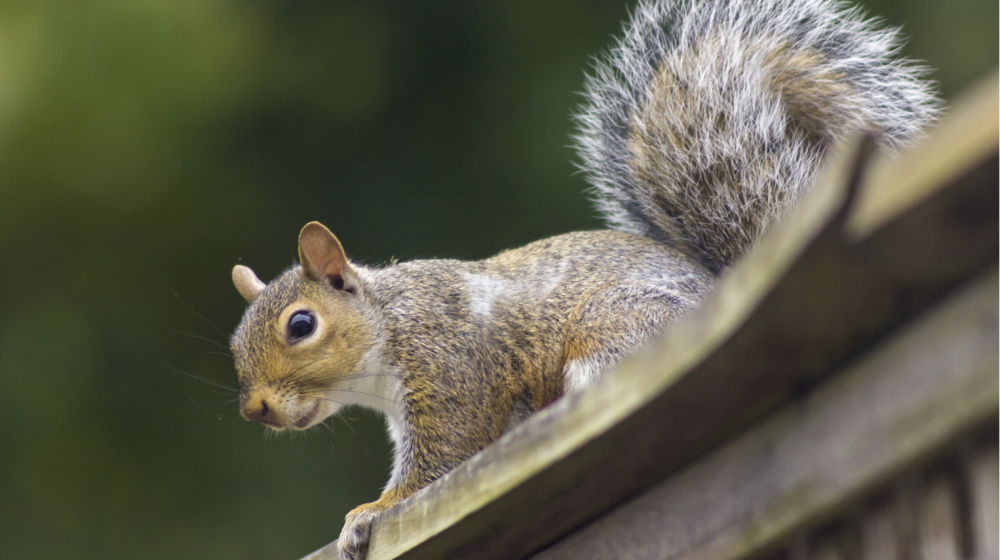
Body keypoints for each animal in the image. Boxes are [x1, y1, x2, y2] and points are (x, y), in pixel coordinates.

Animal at [225, 2, 936, 556]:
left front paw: (368, 513)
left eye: (301, 324)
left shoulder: (452, 371)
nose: (255, 409)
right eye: (234, 345)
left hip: (614, 330)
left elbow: (443, 457)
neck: (389, 326)